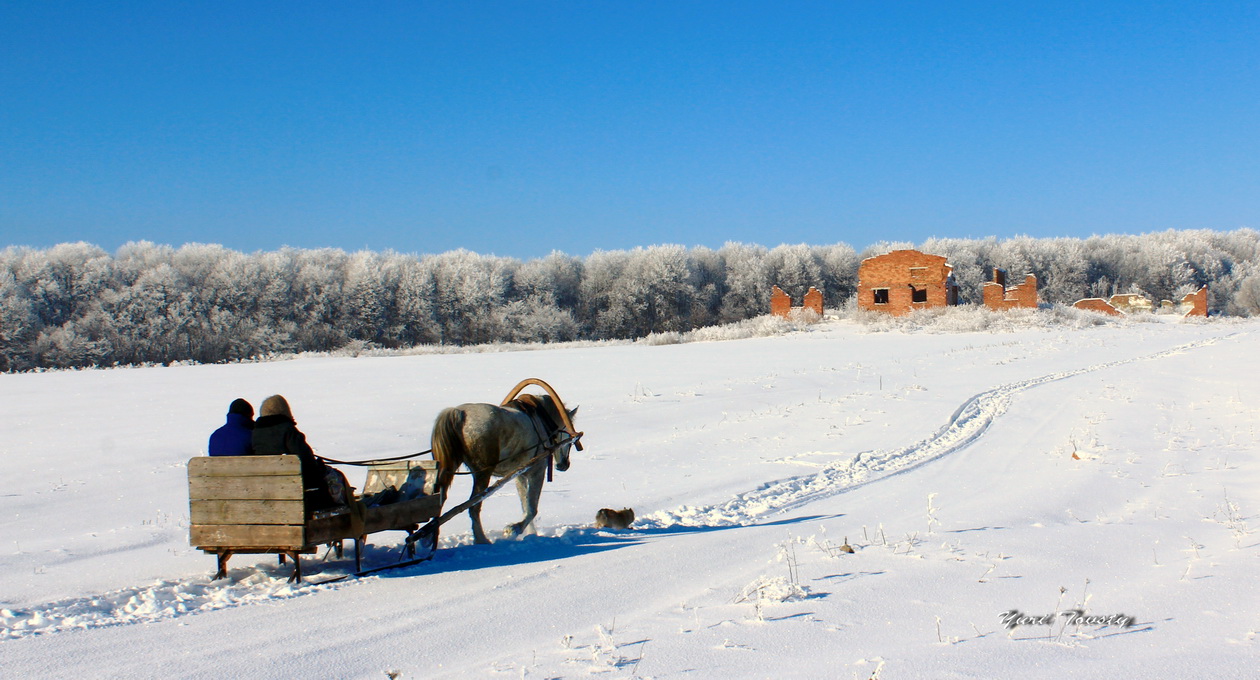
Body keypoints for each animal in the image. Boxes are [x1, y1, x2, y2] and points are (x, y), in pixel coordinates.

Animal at [428, 392, 577, 541]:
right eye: (568, 434)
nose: (564, 465)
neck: (542, 421)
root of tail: (459, 413)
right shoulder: (537, 470)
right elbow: (532, 508)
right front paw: (514, 529)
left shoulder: (520, 474)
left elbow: (525, 505)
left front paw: (530, 532)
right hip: (483, 473)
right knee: (474, 506)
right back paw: (481, 539)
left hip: (448, 468)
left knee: (439, 501)